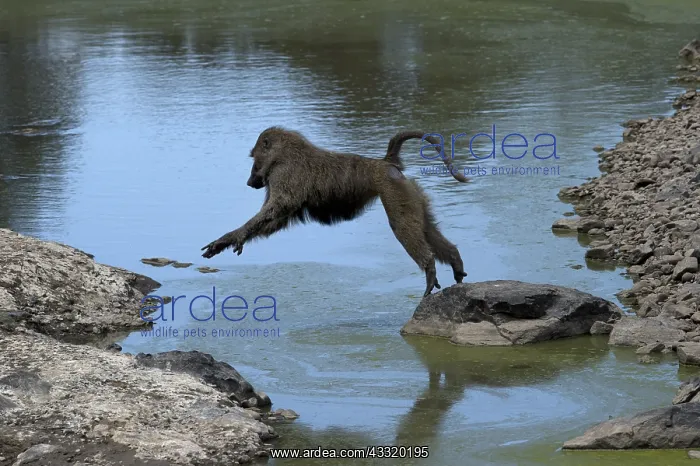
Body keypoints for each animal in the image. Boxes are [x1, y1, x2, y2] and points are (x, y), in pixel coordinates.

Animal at [201, 127, 469, 297]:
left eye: (254, 157)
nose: (250, 181)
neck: (282, 153)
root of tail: (385, 163)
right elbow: (277, 219)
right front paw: (227, 241)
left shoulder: (283, 175)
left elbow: (279, 208)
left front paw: (234, 237)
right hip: (409, 191)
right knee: (424, 226)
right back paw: (455, 261)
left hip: (393, 191)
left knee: (402, 226)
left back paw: (430, 269)